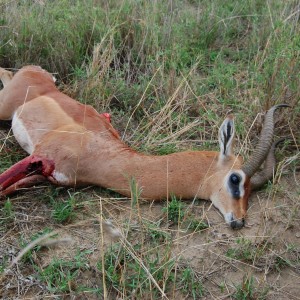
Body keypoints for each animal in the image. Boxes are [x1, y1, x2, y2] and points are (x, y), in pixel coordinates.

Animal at [0, 66, 288, 230]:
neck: (102, 155)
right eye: (235, 180)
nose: (239, 221)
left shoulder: (47, 175)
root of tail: (34, 72)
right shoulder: (39, 157)